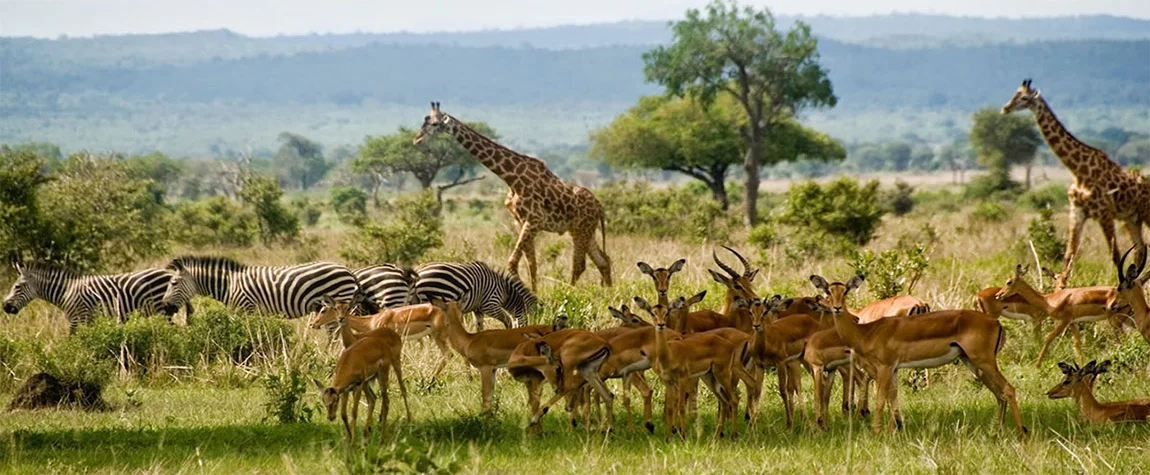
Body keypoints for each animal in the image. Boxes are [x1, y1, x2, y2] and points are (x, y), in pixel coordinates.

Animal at [2, 258, 179, 328]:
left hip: (163, 311)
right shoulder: (85, 319)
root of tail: (169, 273)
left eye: (17, 287)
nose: (4, 307)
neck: (66, 292)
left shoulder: (77, 318)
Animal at [161, 255, 358, 317]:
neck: (229, 285)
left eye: (173, 283)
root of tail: (347, 270)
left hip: (337, 301)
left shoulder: (245, 309)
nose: (165, 307)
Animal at [411, 100, 611, 288]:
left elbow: (513, 262)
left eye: (435, 123)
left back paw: (571, 291)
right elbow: (531, 264)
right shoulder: (520, 221)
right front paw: (534, 293)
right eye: (424, 121)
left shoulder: (533, 220)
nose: (416, 140)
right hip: (583, 229)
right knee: (603, 260)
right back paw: (607, 293)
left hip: (581, 229)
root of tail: (599, 206)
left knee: (580, 264)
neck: (511, 178)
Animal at [998, 78, 1150, 286]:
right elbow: (1069, 255)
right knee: (1140, 248)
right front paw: (1060, 287)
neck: (1079, 171)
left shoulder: (1104, 214)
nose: (1005, 108)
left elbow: (1115, 254)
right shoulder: (1077, 212)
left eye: (1024, 98)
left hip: (1145, 212)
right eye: (1015, 94)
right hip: (1131, 218)